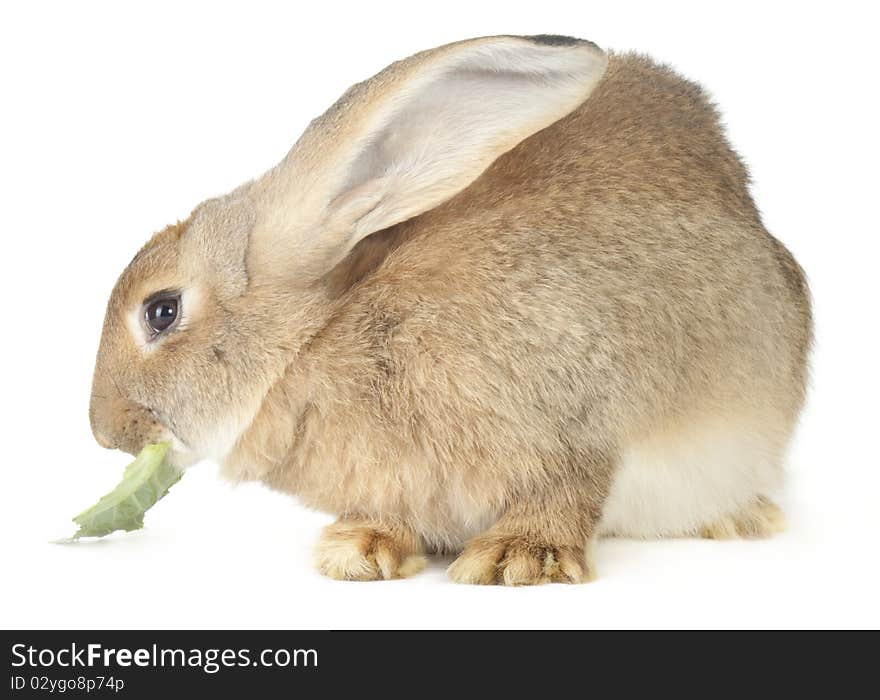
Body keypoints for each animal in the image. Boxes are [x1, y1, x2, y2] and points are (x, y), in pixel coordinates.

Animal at [89, 37, 812, 584]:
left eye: (161, 311)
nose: (105, 431)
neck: (317, 342)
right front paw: (359, 550)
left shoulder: (576, 415)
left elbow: (568, 487)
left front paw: (518, 559)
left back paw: (739, 519)